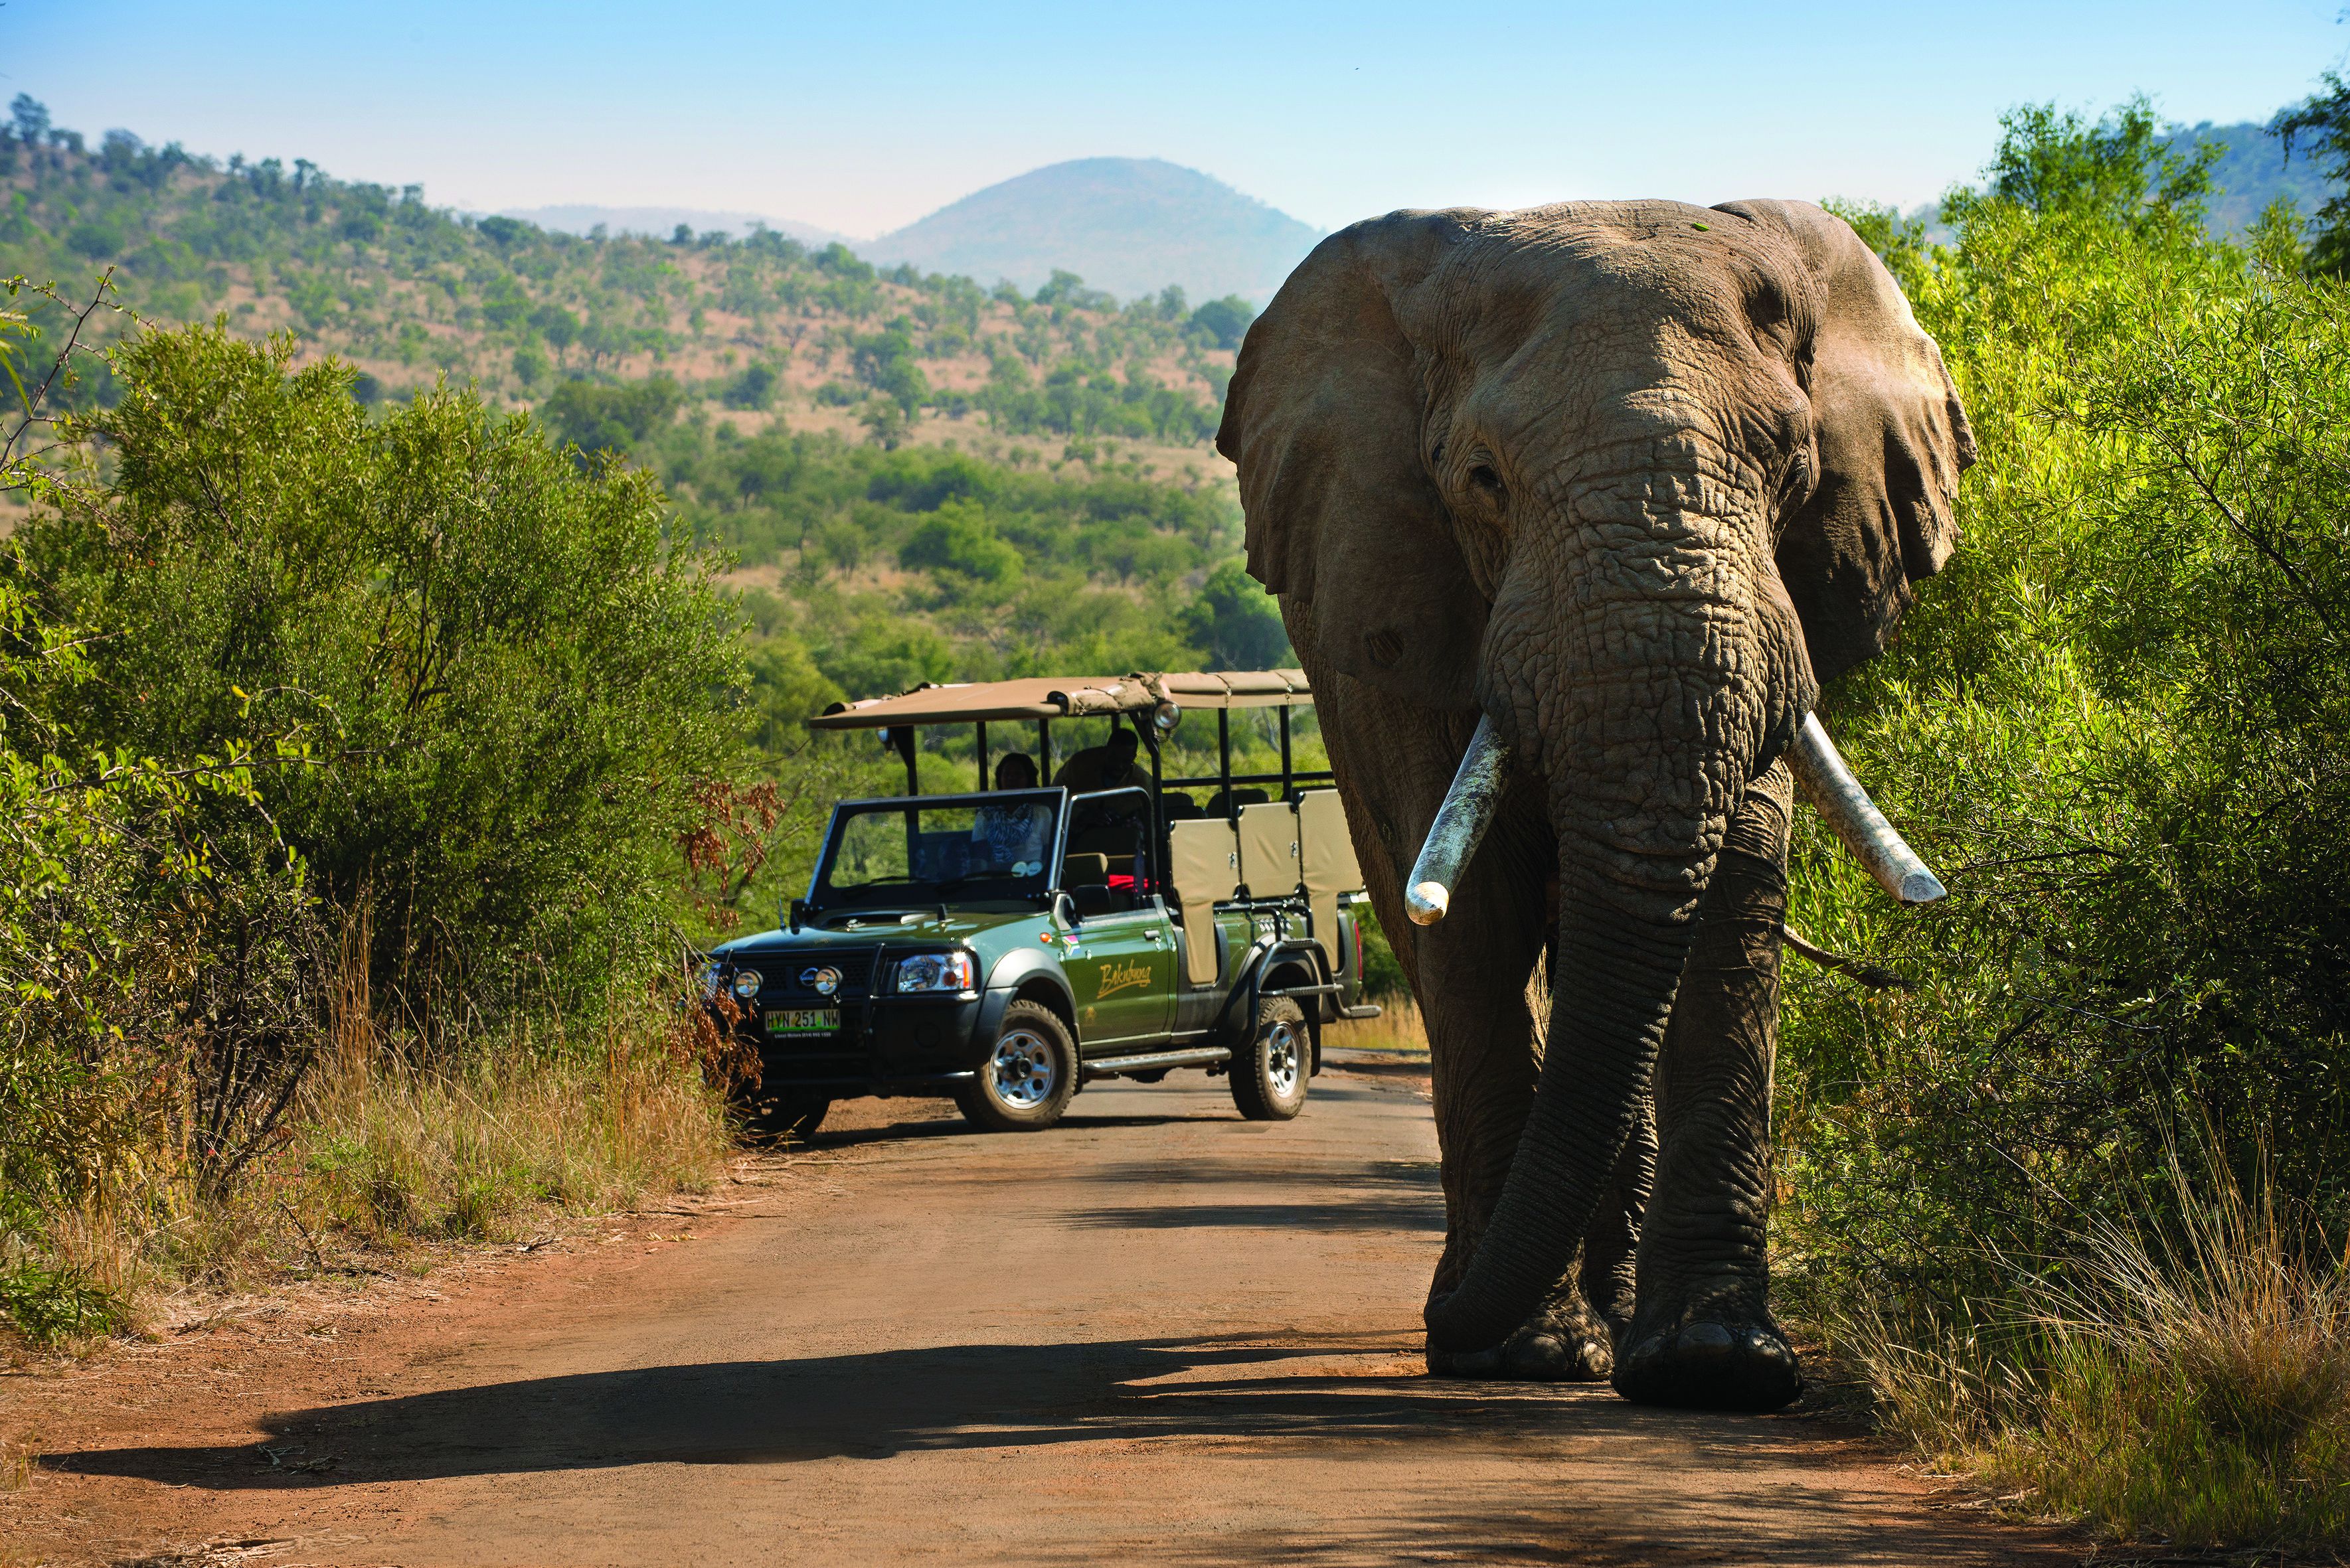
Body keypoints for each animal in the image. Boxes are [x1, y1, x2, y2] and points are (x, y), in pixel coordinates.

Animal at [1215, 198, 1973, 1411]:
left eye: (1790, 467)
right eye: (1481, 479)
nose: (1446, 1328)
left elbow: (1734, 886)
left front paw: (1716, 1366)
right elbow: (1473, 911)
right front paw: (1512, 1353)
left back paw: (1606, 1320)